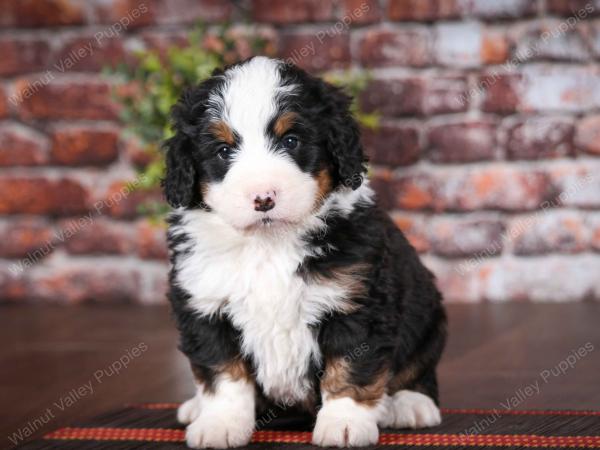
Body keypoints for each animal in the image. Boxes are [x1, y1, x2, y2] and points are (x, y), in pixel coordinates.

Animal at [164, 57, 446, 450]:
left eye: (291, 140)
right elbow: (222, 374)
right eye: (223, 151)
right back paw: (195, 407)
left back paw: (410, 404)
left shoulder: (356, 302)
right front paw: (220, 423)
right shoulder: (206, 304)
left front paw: (344, 424)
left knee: (417, 367)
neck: (269, 245)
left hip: (427, 314)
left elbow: (349, 371)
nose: (263, 198)